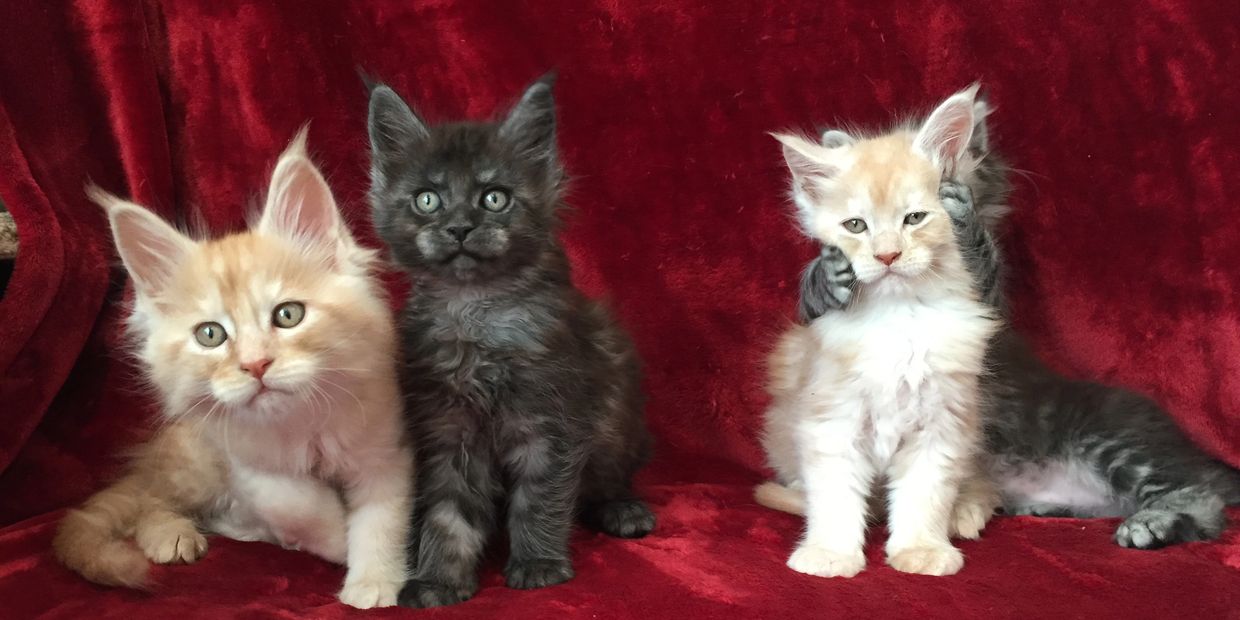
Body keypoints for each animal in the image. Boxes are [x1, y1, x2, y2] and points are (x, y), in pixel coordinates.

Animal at [53, 128, 414, 607]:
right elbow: (290, 498)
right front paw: (336, 539)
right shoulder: (235, 454)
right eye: (211, 335)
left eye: (288, 315)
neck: (299, 425)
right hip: (194, 462)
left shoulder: (385, 449)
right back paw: (173, 536)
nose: (255, 364)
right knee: (151, 500)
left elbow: (380, 520)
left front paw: (372, 582)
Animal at [367, 73, 659, 610]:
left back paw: (622, 510)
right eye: (427, 199)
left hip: (616, 420)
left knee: (607, 481)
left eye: (494, 198)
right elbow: (447, 514)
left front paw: (539, 564)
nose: (460, 228)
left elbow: (540, 498)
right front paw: (439, 579)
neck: (477, 312)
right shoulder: (447, 432)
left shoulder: (551, 423)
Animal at [753, 86, 1006, 575]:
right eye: (856, 226)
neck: (900, 317)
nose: (888, 255)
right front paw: (831, 554)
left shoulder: (942, 425)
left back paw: (964, 512)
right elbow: (834, 497)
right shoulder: (832, 421)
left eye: (915, 218)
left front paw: (921, 550)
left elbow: (925, 496)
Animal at [793, 90, 1240, 548]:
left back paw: (1155, 522)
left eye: (920, 206)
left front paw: (963, 220)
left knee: (1200, 497)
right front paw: (825, 275)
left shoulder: (987, 304)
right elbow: (814, 302)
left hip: (1113, 437)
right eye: (857, 221)